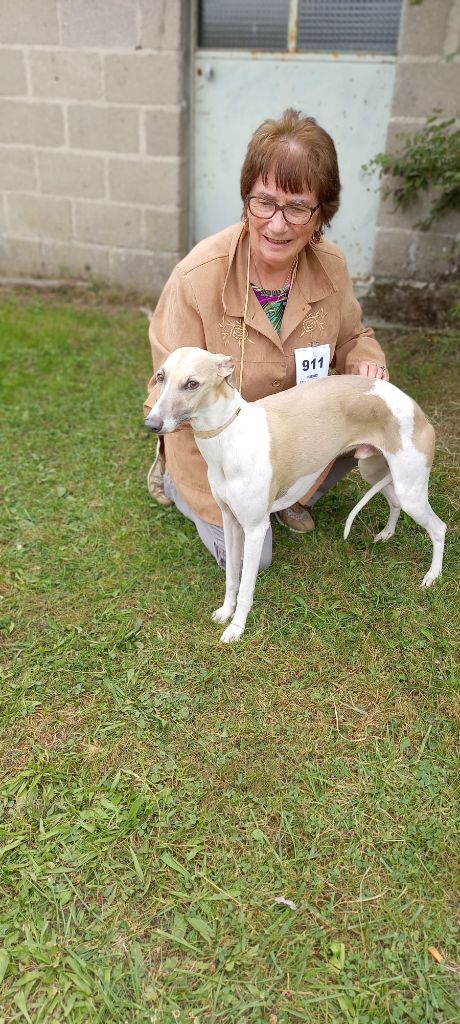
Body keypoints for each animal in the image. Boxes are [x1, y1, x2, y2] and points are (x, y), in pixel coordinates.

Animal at [144, 348, 444, 643]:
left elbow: (246, 586)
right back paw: (387, 533)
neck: (229, 436)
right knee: (395, 501)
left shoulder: (255, 529)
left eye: (192, 384)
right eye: (160, 376)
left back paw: (432, 576)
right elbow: (231, 577)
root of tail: (413, 404)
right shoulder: (229, 521)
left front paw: (236, 628)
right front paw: (225, 612)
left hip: (410, 488)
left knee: (439, 528)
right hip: (376, 470)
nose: (151, 423)